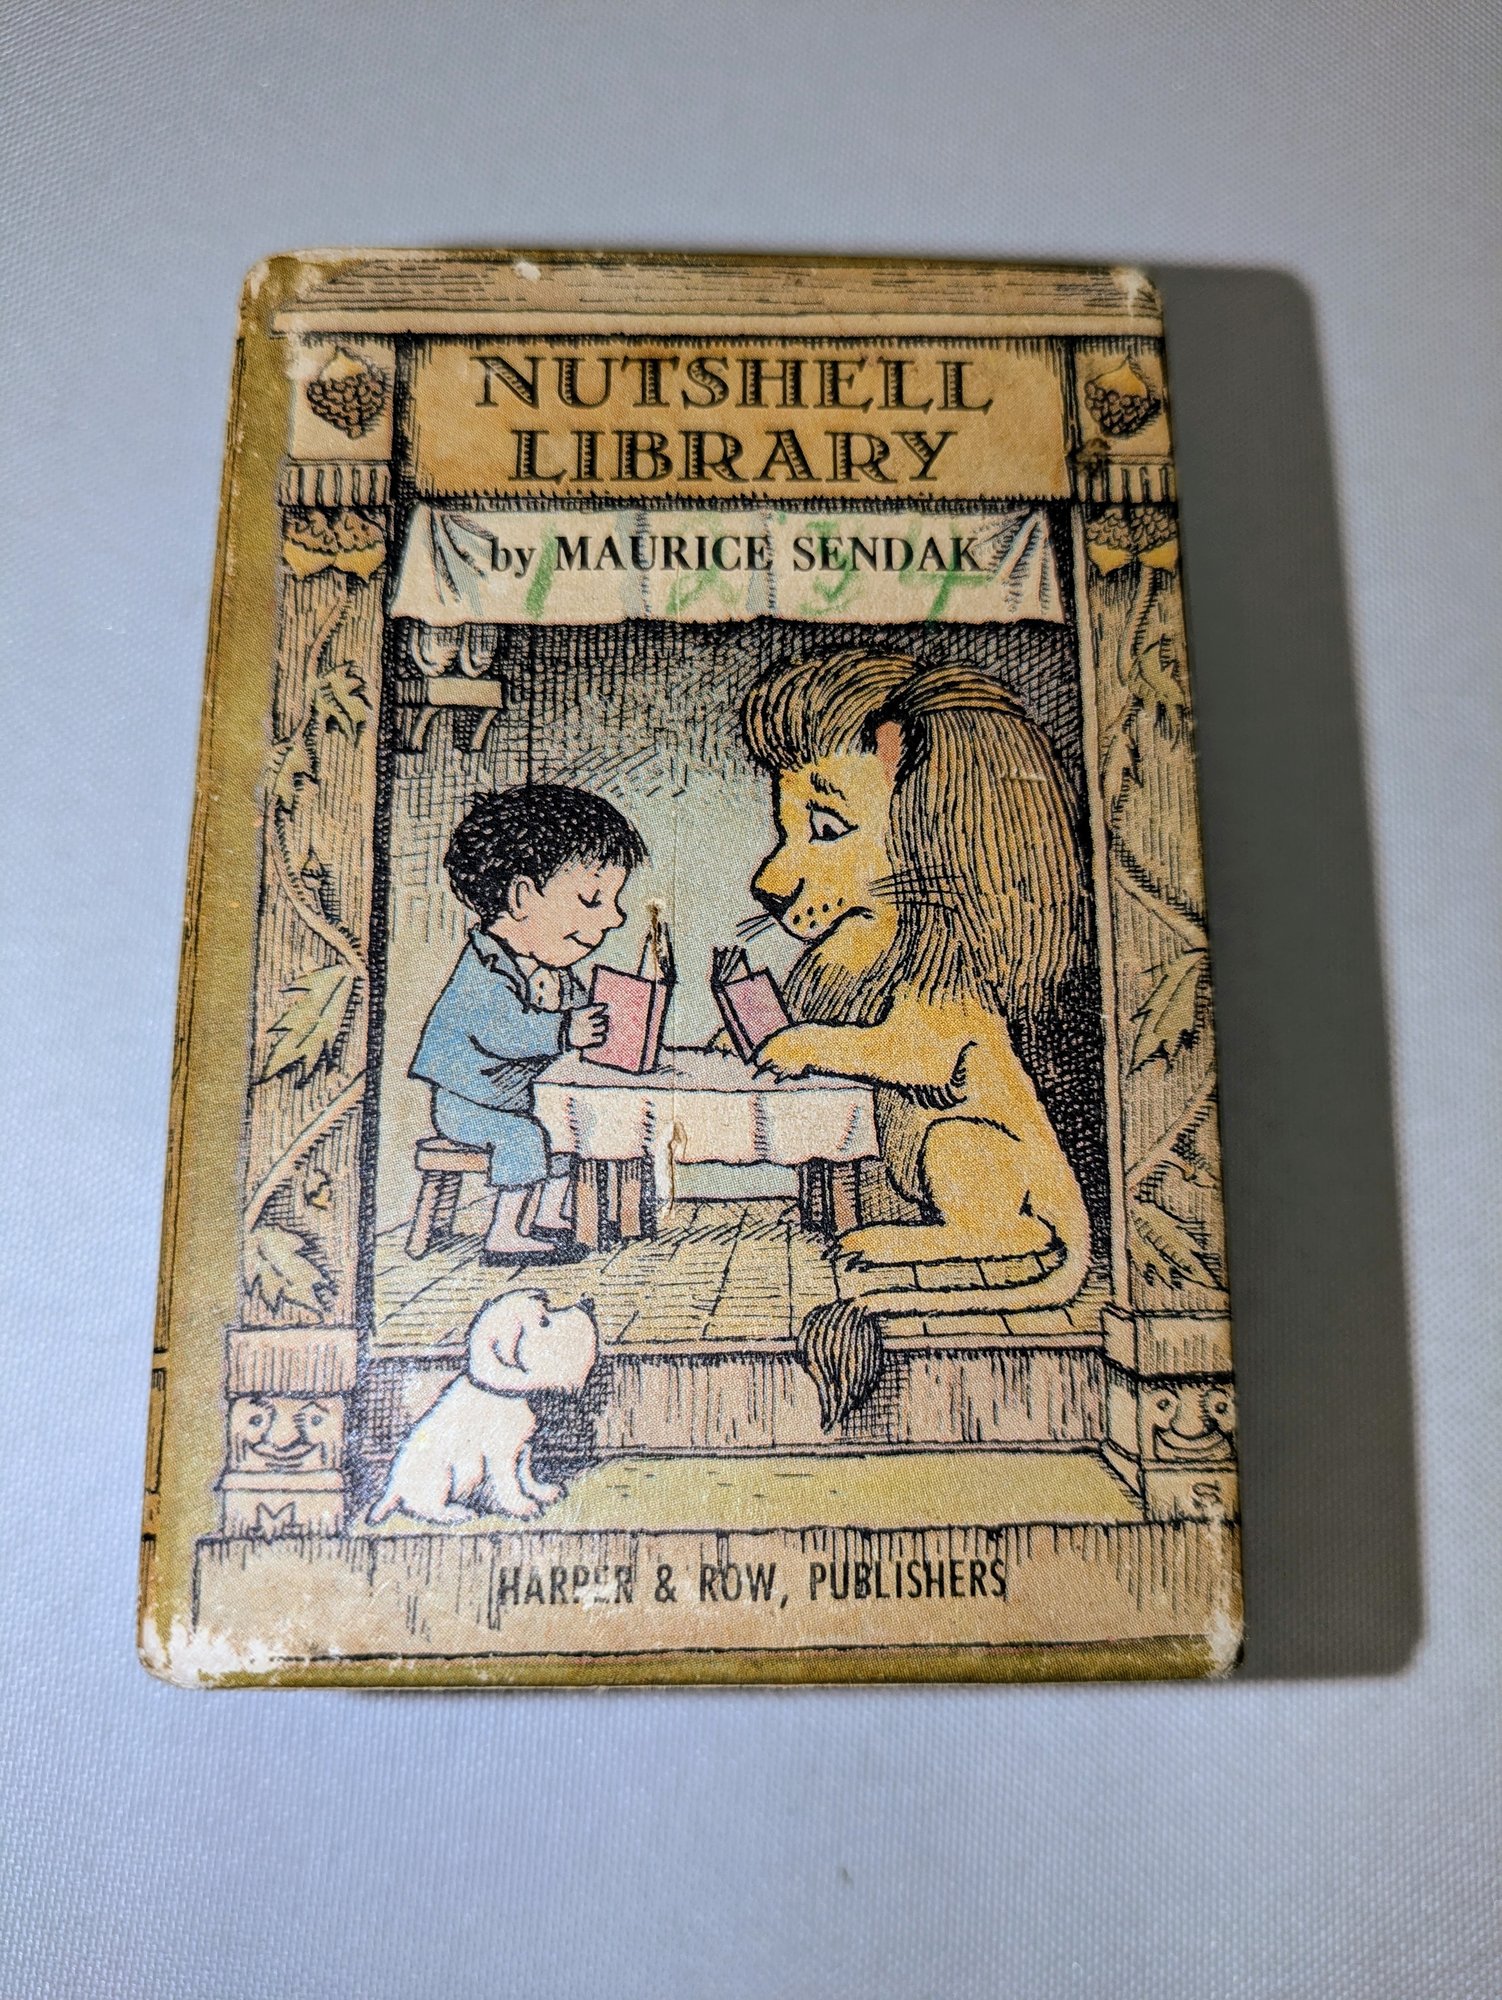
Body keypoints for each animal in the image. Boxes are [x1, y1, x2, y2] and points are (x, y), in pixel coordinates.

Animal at [369, 1289, 597, 1525]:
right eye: (544, 1321)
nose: (587, 1303)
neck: (500, 1390)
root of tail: (393, 1489)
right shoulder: (500, 1455)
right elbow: (509, 1482)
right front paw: (523, 1507)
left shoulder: (522, 1447)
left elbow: (524, 1473)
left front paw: (541, 1492)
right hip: (441, 1476)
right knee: (425, 1507)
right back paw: (457, 1513)